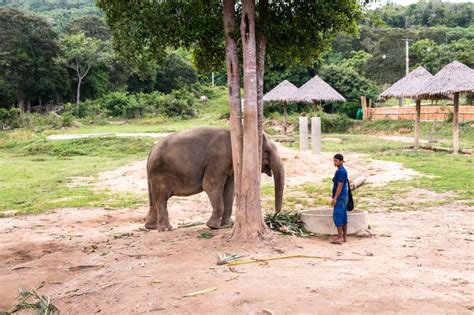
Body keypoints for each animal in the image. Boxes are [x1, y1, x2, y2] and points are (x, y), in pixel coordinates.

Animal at [144, 126, 286, 232]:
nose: (275, 219)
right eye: (266, 151)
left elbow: (229, 190)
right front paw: (212, 226)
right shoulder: (217, 160)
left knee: (154, 199)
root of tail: (151, 151)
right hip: (160, 172)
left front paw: (227, 224)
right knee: (162, 198)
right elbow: (210, 186)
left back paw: (151, 227)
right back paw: (166, 229)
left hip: (153, 174)